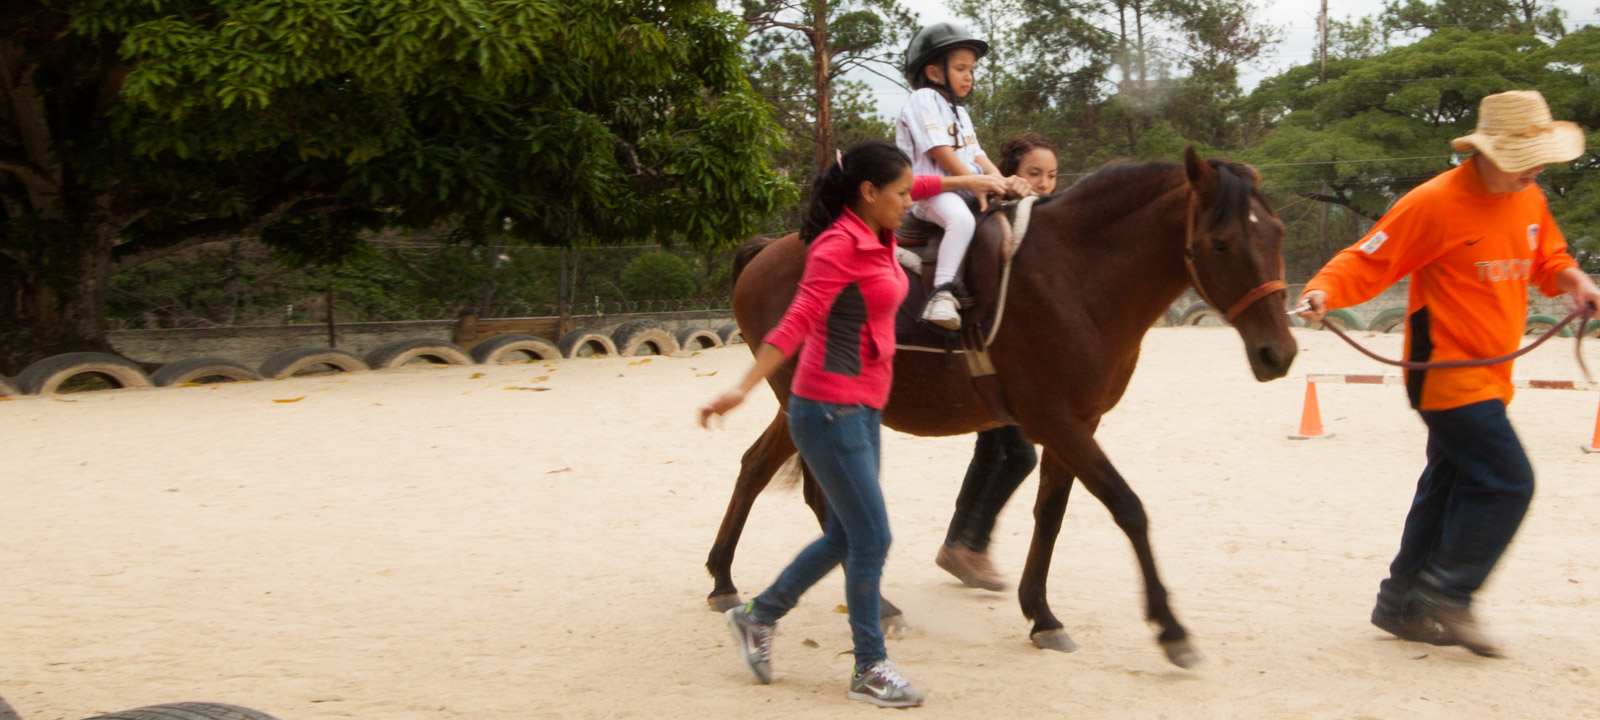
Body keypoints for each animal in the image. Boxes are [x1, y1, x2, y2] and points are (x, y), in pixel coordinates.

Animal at [710, 148, 1299, 668]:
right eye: (1220, 243)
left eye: (1276, 233)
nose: (1279, 352)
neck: (1077, 275)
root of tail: (765, 253)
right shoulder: (1058, 422)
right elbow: (1128, 507)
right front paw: (1171, 630)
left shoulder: (1078, 423)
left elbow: (1051, 515)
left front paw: (1041, 616)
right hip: (806, 402)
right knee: (814, 494)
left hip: (801, 406)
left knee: (760, 469)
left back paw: (731, 579)